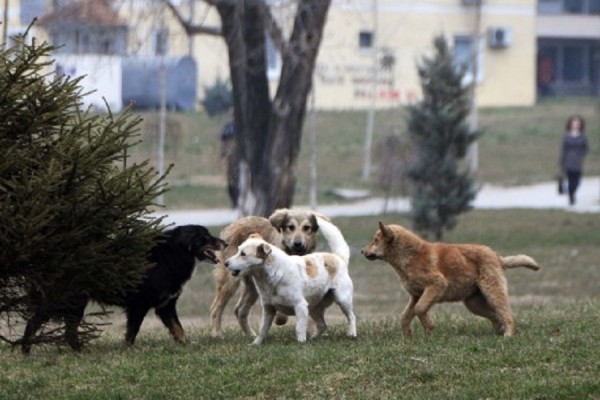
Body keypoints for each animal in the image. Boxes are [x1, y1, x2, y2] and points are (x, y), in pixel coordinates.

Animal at [21, 225, 225, 354]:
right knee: (46, 325)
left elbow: (178, 329)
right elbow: (132, 332)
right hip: (71, 302)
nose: (225, 243)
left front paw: (187, 345)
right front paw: (127, 350)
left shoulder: (165, 306)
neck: (172, 254)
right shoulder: (139, 306)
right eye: (205, 236)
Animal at [211, 209, 324, 338]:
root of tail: (232, 225)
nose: (297, 243)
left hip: (252, 287)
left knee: (240, 310)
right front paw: (280, 318)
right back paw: (216, 334)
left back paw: (251, 335)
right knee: (216, 308)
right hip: (230, 282)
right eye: (291, 227)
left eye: (307, 227)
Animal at [225, 216, 356, 344]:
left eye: (243, 254)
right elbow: (263, 329)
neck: (273, 275)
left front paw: (301, 343)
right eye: (238, 250)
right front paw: (256, 344)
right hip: (313, 308)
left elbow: (299, 328)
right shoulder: (268, 309)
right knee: (322, 325)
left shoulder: (300, 306)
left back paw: (351, 334)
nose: (226, 263)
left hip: (342, 299)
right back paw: (313, 339)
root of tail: (339, 258)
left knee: (351, 317)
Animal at [360, 222, 540, 338]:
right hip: (473, 303)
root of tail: (498, 257)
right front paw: (408, 336)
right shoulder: (416, 295)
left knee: (506, 314)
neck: (409, 256)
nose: (362, 251)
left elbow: (419, 309)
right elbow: (405, 316)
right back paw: (496, 334)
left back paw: (508, 335)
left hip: (493, 291)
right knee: (496, 316)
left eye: (375, 240)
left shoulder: (437, 284)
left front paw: (429, 329)